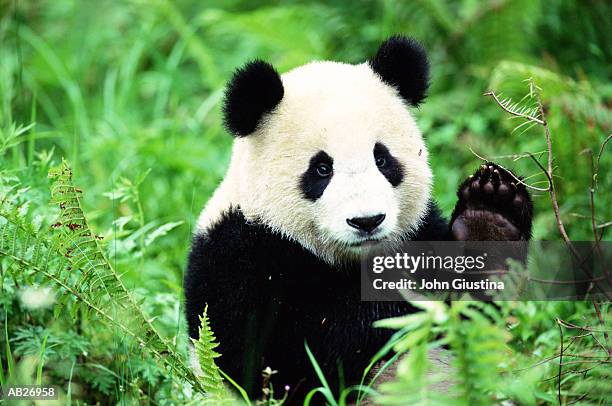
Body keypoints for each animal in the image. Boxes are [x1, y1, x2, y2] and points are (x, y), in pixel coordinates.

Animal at [184, 35, 532, 402]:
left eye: (382, 159)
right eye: (322, 169)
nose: (367, 221)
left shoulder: (420, 231)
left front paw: (489, 219)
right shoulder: (238, 259)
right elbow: (284, 357)